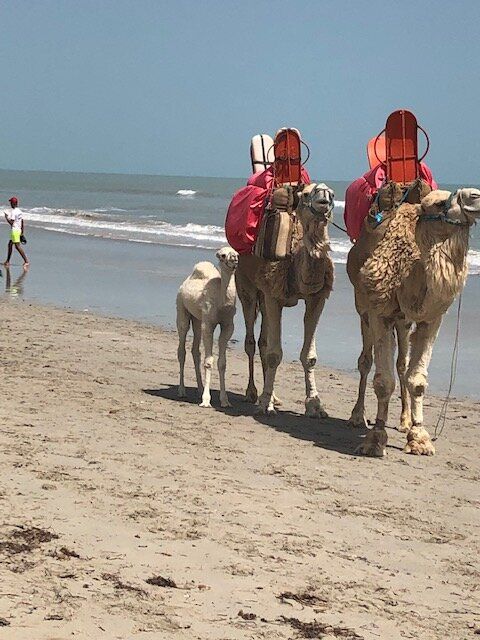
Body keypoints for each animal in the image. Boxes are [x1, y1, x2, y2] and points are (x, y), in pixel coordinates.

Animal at [176, 246, 238, 408]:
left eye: (237, 253)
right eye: (223, 255)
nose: (234, 259)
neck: (222, 304)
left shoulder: (228, 325)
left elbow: (222, 363)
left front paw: (225, 400)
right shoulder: (208, 324)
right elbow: (209, 361)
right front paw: (206, 400)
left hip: (198, 319)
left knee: (195, 350)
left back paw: (199, 388)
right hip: (181, 309)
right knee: (181, 349)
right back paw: (182, 391)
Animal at [235, 182, 335, 416]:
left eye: (333, 194)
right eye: (306, 194)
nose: (324, 200)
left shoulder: (316, 298)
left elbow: (309, 356)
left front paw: (315, 405)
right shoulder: (274, 295)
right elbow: (274, 354)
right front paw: (265, 404)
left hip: (263, 294)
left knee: (262, 341)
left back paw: (274, 395)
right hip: (246, 285)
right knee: (251, 340)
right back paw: (253, 393)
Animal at [347, 183, 480, 456]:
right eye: (438, 204)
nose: (476, 196)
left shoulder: (431, 318)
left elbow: (416, 379)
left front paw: (418, 437)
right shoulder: (379, 312)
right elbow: (383, 381)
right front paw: (375, 438)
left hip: (403, 322)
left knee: (401, 363)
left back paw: (405, 420)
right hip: (363, 309)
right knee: (366, 361)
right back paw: (357, 416)